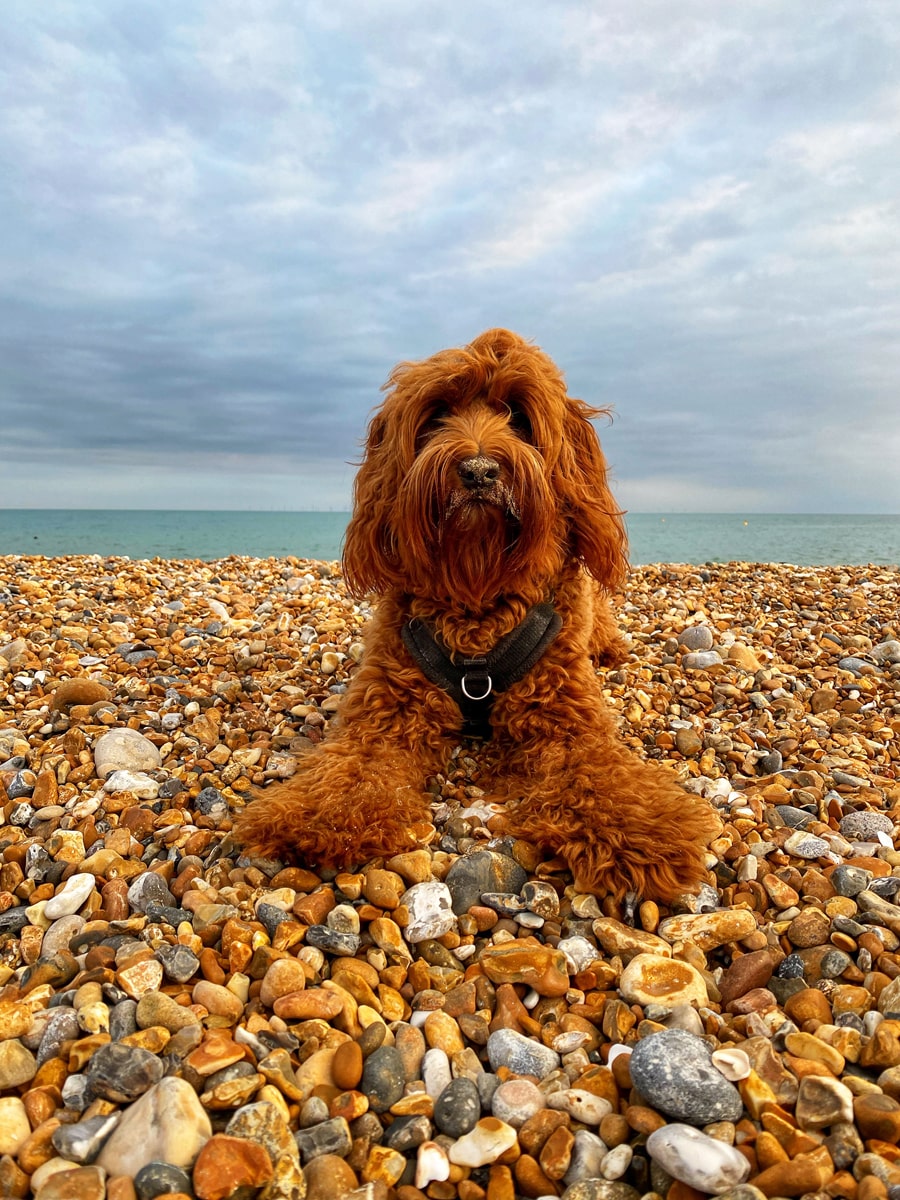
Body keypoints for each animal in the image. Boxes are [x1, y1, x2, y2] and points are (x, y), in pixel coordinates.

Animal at [237, 328, 720, 902]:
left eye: (519, 416)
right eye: (438, 413)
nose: (478, 470)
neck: (476, 598)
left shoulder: (566, 719)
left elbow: (597, 773)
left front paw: (643, 831)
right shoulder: (385, 711)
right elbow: (354, 766)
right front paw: (315, 813)